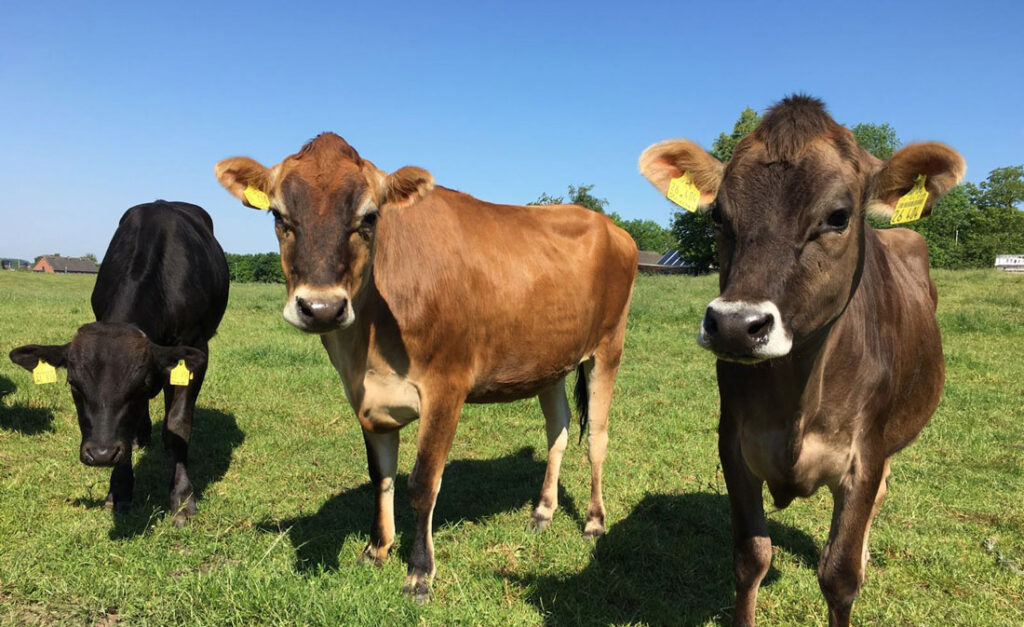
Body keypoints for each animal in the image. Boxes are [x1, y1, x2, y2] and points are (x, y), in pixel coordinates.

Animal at [9, 200, 227, 524]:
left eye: (140, 384)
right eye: (74, 385)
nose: (101, 454)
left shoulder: (196, 351)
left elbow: (177, 425)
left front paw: (182, 498)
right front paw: (120, 489)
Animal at [212, 134, 634, 598]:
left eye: (370, 216)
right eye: (278, 214)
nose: (321, 308)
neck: (367, 346)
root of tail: (608, 224)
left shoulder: (446, 388)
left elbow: (422, 483)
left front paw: (419, 572)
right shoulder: (365, 396)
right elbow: (381, 475)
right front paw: (376, 548)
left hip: (608, 347)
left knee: (596, 437)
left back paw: (594, 521)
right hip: (548, 361)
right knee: (557, 432)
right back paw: (542, 512)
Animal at [634, 95, 962, 622]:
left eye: (839, 216)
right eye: (717, 216)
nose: (735, 324)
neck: (797, 395)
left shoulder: (865, 455)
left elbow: (839, 574)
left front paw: (851, 566)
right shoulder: (734, 444)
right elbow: (751, 558)